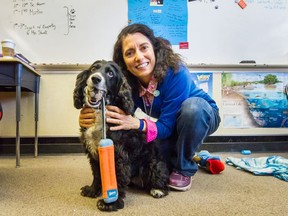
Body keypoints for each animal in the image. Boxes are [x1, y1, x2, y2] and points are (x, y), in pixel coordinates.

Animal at [73, 60, 170, 211]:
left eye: (110, 73)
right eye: (94, 68)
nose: (95, 78)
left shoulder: (119, 154)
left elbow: (117, 177)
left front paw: (112, 203)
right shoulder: (93, 153)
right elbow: (97, 174)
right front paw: (92, 190)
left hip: (153, 164)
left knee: (161, 180)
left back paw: (158, 189)